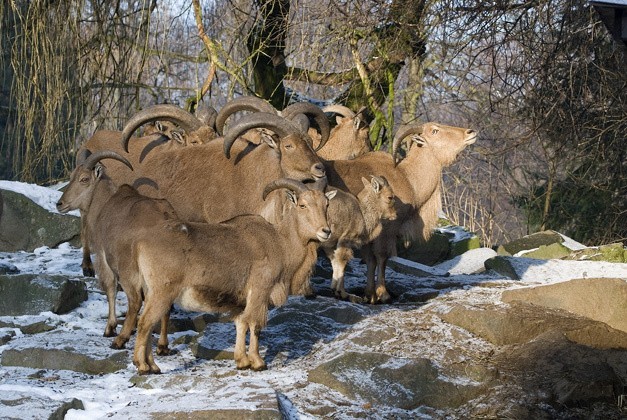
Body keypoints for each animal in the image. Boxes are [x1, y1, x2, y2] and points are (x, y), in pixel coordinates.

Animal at [129, 177, 338, 374]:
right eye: (302, 205)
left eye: (326, 204)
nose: (325, 231)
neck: (280, 243)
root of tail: (140, 243)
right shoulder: (260, 291)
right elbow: (254, 324)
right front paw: (258, 362)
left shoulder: (242, 301)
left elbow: (240, 324)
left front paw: (242, 361)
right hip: (162, 293)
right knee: (145, 323)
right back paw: (144, 366)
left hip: (151, 292)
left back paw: (152, 365)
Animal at [326, 121, 478, 302]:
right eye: (435, 131)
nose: (470, 132)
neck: (407, 178)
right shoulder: (386, 229)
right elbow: (381, 257)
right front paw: (383, 294)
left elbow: (370, 260)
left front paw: (370, 294)